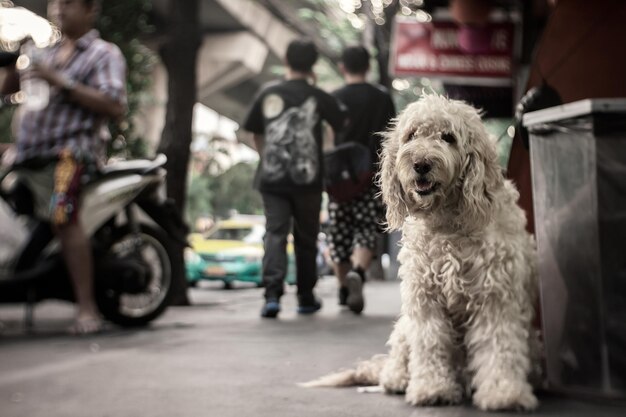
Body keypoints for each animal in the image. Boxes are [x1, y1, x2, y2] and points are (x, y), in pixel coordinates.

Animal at [302, 94, 536, 410]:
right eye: (412, 135)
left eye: (448, 137)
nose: (421, 164)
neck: (446, 222)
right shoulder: (425, 297)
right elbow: (430, 342)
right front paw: (432, 388)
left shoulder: (495, 296)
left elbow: (498, 344)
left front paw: (503, 392)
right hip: (404, 326)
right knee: (393, 366)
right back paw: (399, 379)